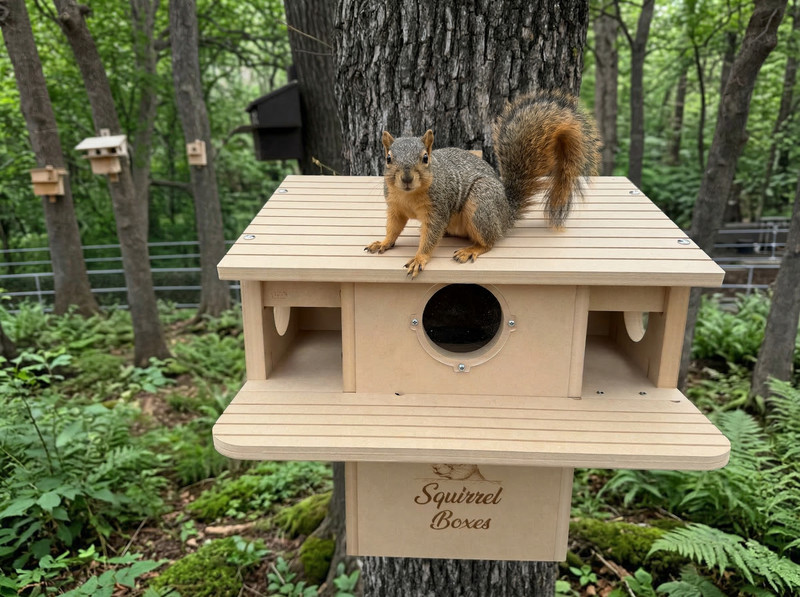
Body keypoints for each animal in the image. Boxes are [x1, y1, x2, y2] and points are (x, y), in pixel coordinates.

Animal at [365, 90, 600, 278]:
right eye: (388, 158)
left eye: (425, 158)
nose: (406, 178)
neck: (409, 195)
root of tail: (505, 214)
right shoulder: (395, 207)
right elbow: (394, 228)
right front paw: (383, 243)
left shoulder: (438, 209)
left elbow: (431, 236)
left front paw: (419, 258)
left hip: (480, 203)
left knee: (489, 241)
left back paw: (472, 249)